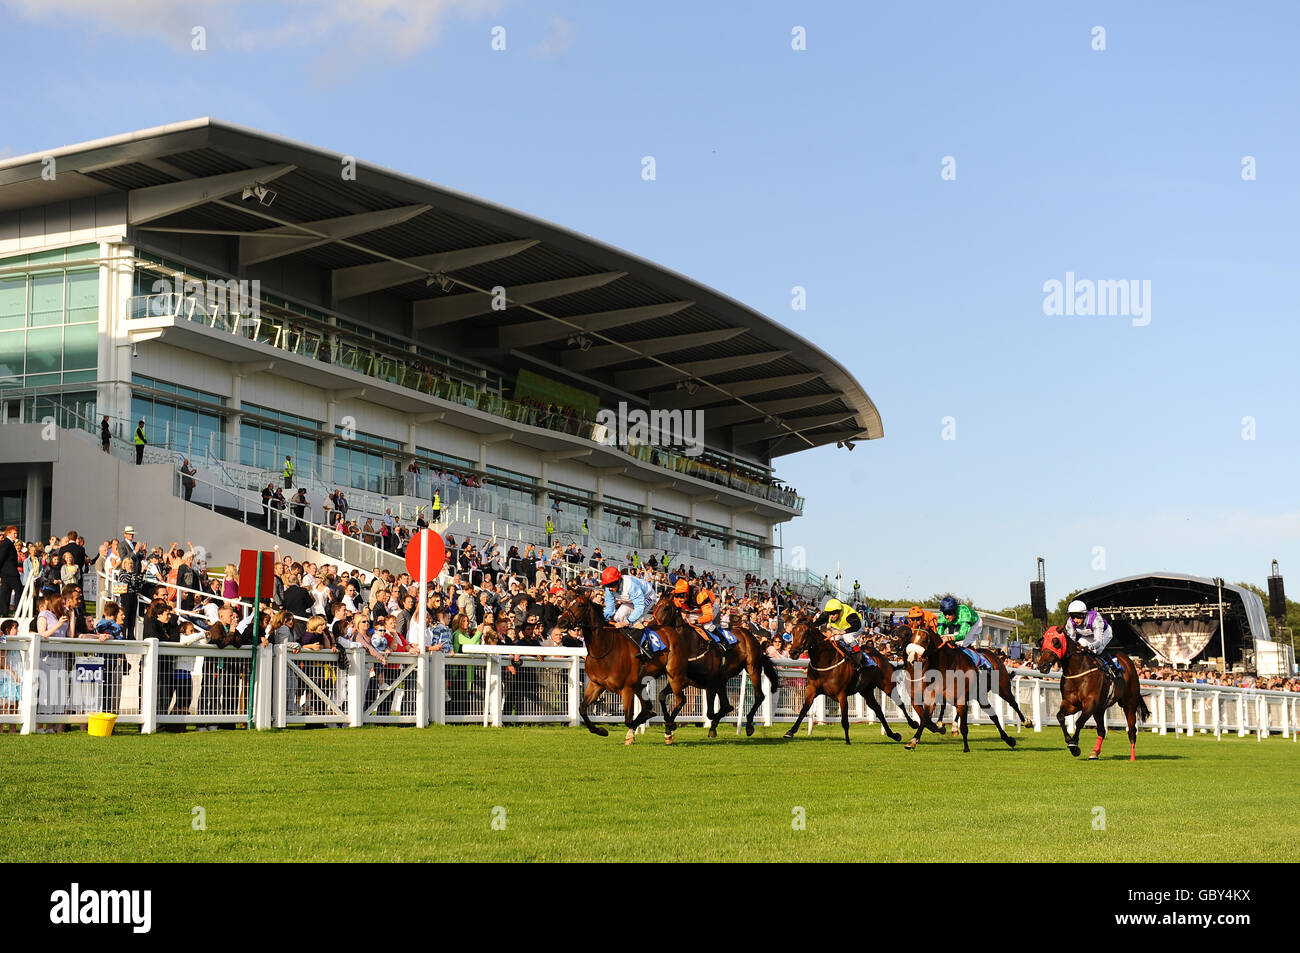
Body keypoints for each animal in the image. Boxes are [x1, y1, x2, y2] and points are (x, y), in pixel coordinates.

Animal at [650, 595, 780, 738]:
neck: (690, 644)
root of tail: (750, 635)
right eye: (655, 606)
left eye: (666, 607)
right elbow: (662, 695)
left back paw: (749, 725)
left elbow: (712, 712)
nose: (651, 625)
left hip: (753, 668)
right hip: (723, 679)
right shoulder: (684, 680)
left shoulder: (710, 684)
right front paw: (670, 724)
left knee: (759, 696)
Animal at [774, 608, 909, 743]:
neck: (826, 661)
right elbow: (803, 710)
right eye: (793, 632)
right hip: (866, 691)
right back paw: (894, 735)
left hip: (887, 685)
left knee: (900, 703)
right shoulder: (811, 690)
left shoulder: (842, 694)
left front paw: (848, 741)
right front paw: (790, 732)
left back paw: (911, 724)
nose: (793, 652)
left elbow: (844, 720)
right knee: (878, 710)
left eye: (806, 633)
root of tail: (882, 656)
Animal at [899, 624, 1029, 748]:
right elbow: (925, 717)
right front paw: (914, 740)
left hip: (1002, 687)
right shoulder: (932, 695)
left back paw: (1026, 722)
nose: (911, 658)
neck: (947, 665)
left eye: (924, 640)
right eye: (911, 638)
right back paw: (1008, 739)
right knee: (993, 716)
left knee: (1013, 703)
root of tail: (994, 655)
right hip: (980, 695)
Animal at [1034, 624, 1149, 759]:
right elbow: (1060, 716)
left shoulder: (1090, 703)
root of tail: (1128, 660)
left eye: (1056, 642)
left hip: (1129, 703)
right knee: (1102, 731)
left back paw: (1132, 757)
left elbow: (1079, 722)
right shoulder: (1071, 704)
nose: (1042, 666)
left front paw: (1074, 746)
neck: (1078, 671)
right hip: (1100, 709)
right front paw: (1069, 740)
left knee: (1131, 730)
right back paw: (1095, 752)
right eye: (1042, 642)